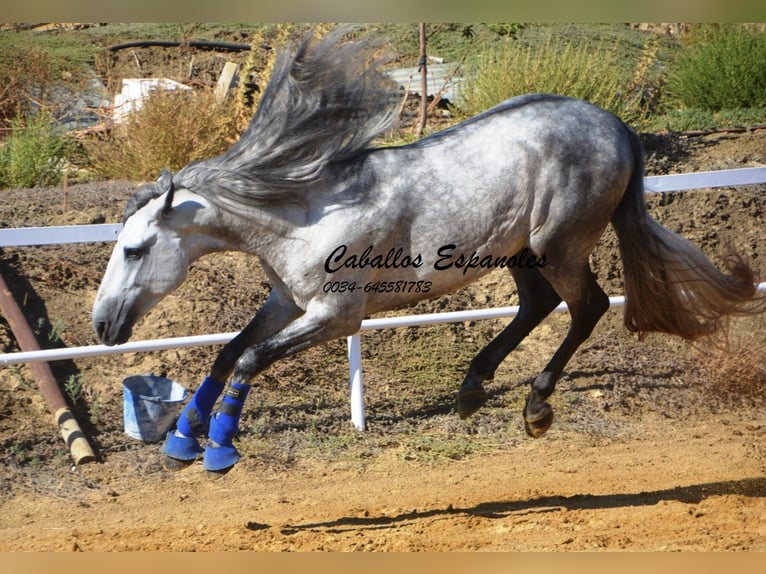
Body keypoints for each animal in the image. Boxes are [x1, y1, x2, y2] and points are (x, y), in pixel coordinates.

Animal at [90, 29, 760, 474]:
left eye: (136, 249)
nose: (102, 326)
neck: (304, 211)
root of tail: (617, 127)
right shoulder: (288, 301)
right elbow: (229, 351)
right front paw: (181, 441)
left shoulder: (338, 315)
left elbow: (252, 359)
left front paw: (220, 448)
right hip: (516, 252)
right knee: (538, 306)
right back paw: (472, 392)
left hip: (558, 246)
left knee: (587, 306)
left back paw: (535, 407)